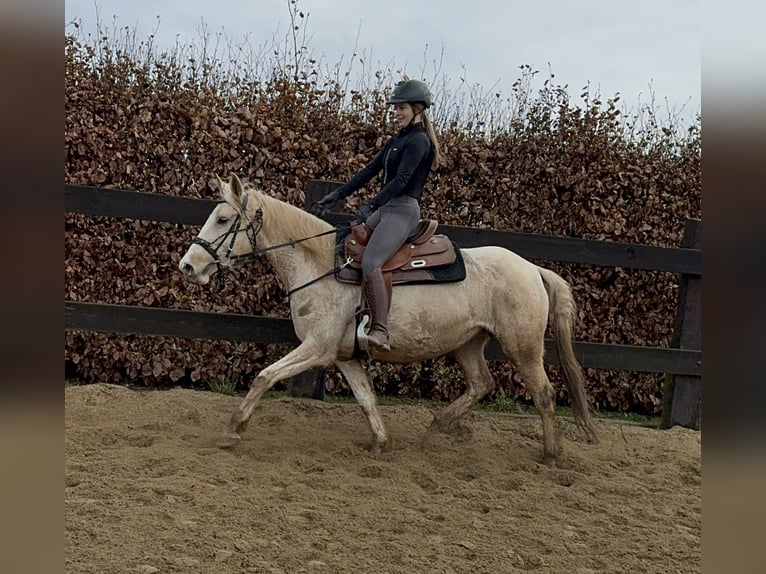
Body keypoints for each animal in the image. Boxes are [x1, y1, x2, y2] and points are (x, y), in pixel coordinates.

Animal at [178, 173, 600, 466]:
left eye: (223, 219)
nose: (187, 266)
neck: (322, 264)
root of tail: (532, 269)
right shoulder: (344, 357)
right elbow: (366, 399)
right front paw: (381, 443)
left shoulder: (317, 348)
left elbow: (264, 376)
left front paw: (233, 429)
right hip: (469, 343)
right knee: (482, 383)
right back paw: (437, 426)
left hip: (522, 348)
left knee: (543, 394)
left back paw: (550, 454)